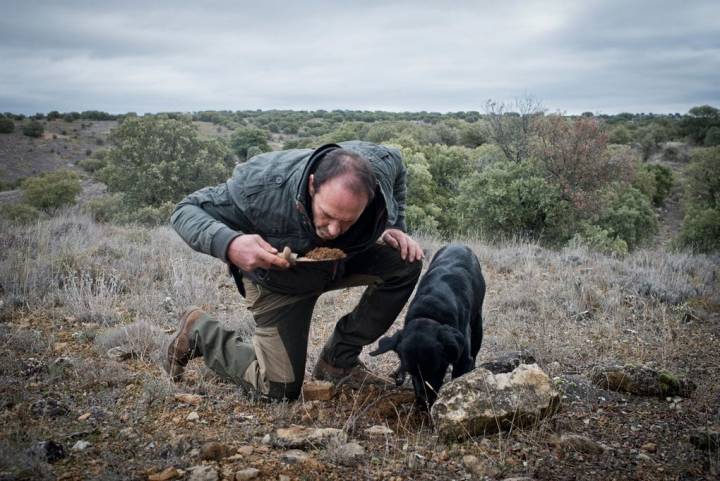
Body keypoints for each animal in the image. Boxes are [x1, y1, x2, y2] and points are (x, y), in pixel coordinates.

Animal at [372, 242, 484, 406]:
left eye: (437, 370)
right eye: (412, 372)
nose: (423, 402)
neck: (430, 309)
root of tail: (458, 244)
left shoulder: (462, 359)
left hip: (477, 323)